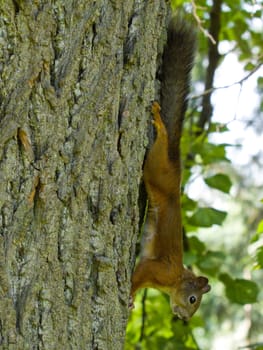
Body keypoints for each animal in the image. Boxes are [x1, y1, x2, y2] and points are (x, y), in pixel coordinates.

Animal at [130, 15, 212, 320]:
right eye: (193, 299)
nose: (183, 318)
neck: (177, 278)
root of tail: (176, 170)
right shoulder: (158, 268)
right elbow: (139, 274)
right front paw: (129, 294)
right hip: (157, 168)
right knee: (161, 142)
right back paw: (158, 122)